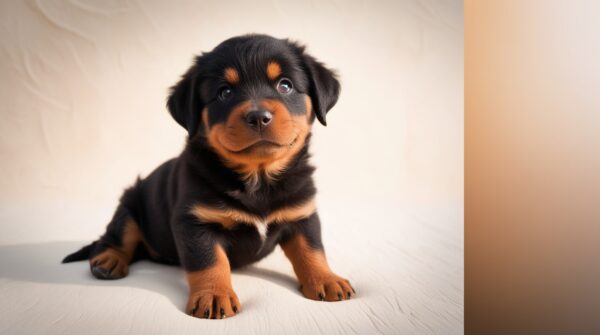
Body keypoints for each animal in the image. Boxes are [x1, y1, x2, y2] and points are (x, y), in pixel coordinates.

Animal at [63, 34, 354, 320]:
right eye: (225, 92)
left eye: (285, 85)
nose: (259, 117)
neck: (258, 178)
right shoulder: (195, 222)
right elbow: (209, 262)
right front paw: (214, 296)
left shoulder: (302, 213)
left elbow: (311, 250)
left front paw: (326, 279)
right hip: (130, 204)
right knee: (115, 237)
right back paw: (109, 260)